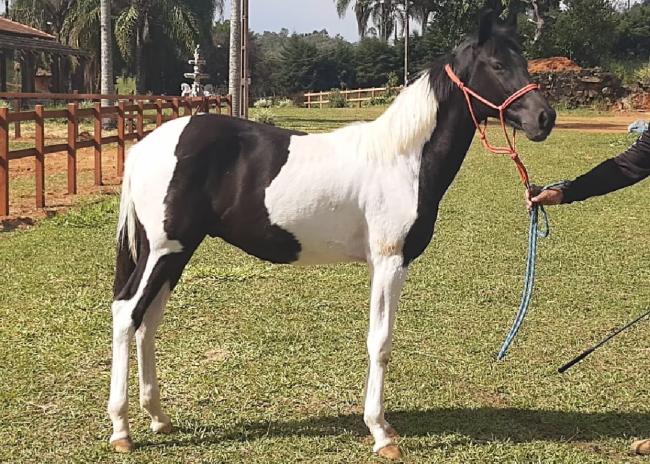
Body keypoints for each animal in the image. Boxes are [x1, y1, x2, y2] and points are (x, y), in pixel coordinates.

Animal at [107, 11, 556, 459]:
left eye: (524, 61)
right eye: (497, 65)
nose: (544, 118)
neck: (403, 159)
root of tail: (146, 146)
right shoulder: (390, 262)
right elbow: (381, 343)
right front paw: (381, 433)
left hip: (176, 252)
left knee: (148, 321)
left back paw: (158, 417)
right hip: (163, 251)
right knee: (127, 313)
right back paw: (121, 430)